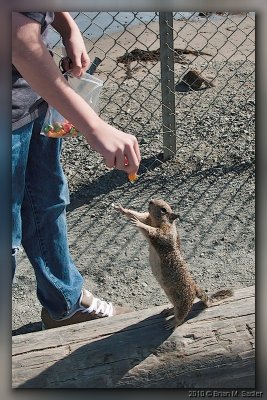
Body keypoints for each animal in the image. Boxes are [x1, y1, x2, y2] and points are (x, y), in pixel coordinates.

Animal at [116, 198, 233, 330]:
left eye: (163, 209)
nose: (150, 201)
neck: (157, 222)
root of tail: (194, 288)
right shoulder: (148, 219)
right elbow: (139, 216)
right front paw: (122, 209)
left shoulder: (164, 234)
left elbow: (152, 231)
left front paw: (138, 223)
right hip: (172, 298)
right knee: (175, 308)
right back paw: (168, 310)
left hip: (183, 302)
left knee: (181, 317)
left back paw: (173, 323)